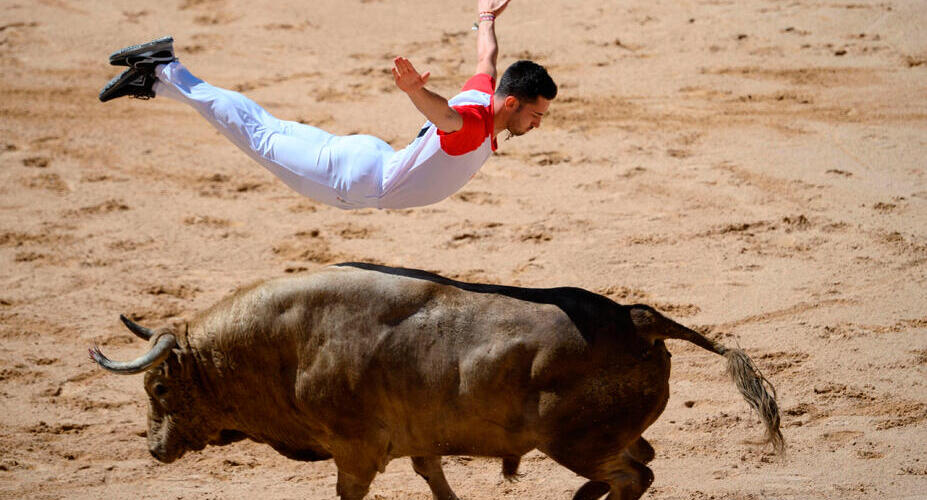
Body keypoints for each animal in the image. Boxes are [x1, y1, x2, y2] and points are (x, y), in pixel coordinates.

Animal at [90, 264, 784, 498]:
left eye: (157, 390)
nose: (154, 449)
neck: (286, 345)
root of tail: (636, 318)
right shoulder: (419, 442)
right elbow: (436, 480)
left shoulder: (356, 453)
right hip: (605, 437)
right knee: (642, 465)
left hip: (576, 444)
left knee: (631, 478)